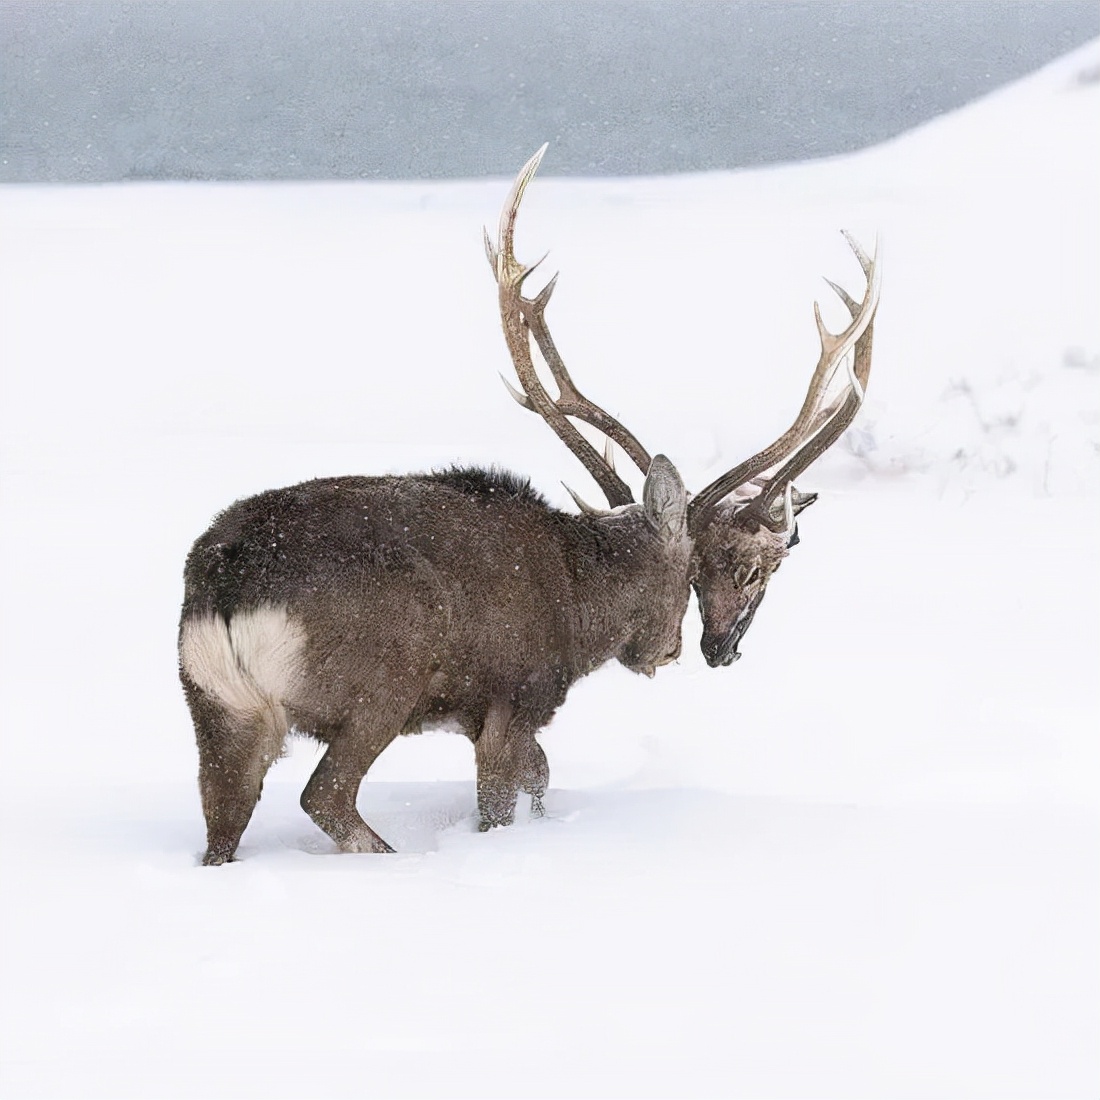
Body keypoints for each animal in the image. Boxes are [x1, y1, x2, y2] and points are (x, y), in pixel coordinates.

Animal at [180, 148, 884, 866]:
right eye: (701, 567)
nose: (681, 650)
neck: (579, 606)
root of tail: (229, 591)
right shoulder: (513, 695)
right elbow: (506, 797)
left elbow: (541, 777)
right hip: (381, 680)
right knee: (325, 795)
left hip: (217, 707)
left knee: (221, 824)